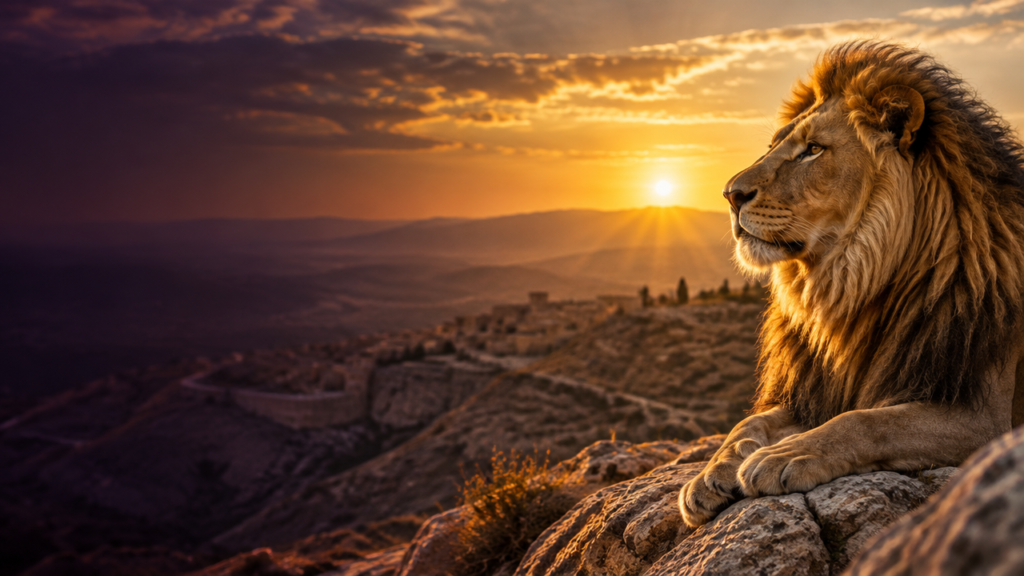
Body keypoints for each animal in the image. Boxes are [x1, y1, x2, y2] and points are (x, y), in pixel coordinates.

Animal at [679, 41, 1024, 527]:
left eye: (813, 150)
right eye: (774, 146)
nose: (730, 194)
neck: (852, 287)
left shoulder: (984, 419)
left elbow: (868, 421)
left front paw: (785, 456)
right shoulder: (816, 390)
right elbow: (750, 422)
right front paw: (713, 472)